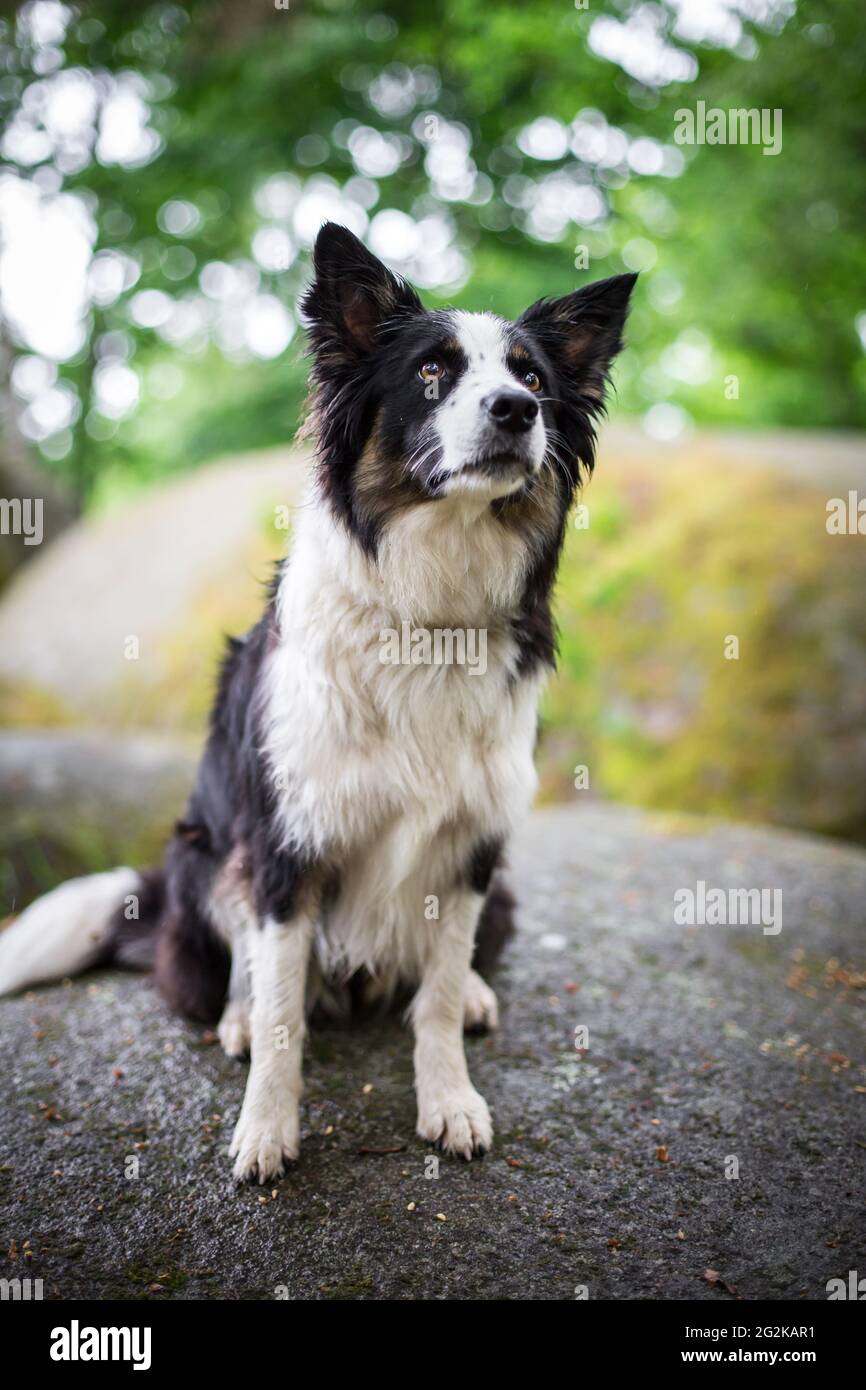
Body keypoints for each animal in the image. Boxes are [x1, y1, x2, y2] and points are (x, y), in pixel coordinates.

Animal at [0, 227, 636, 1184]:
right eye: (431, 370)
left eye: (531, 376)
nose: (516, 410)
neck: (429, 612)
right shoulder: (285, 845)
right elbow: (279, 1015)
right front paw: (266, 1128)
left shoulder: (474, 839)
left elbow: (434, 998)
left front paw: (450, 1099)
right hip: (202, 850)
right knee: (237, 966)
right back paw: (231, 1010)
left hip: (499, 884)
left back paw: (476, 992)